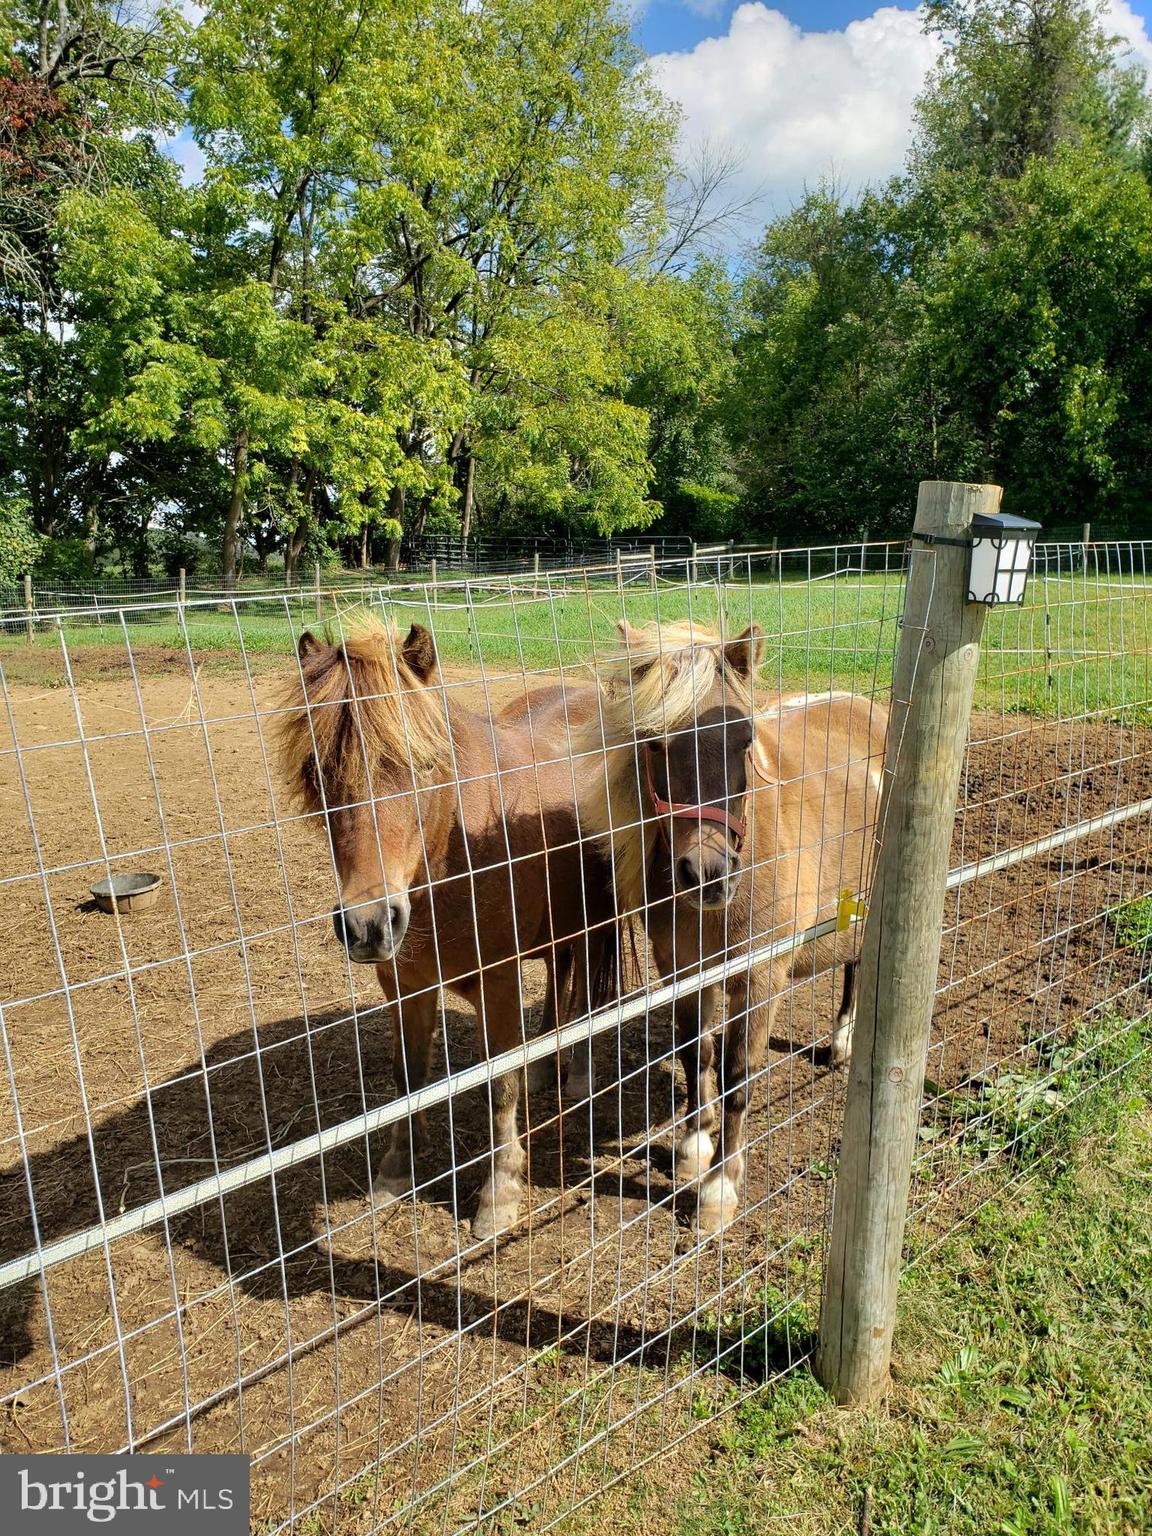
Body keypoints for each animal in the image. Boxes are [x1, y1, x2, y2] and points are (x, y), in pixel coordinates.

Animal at [276, 615, 617, 1240]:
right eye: (318, 773)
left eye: (426, 765)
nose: (367, 925)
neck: (454, 851)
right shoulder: (402, 984)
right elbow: (407, 1076)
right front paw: (395, 1171)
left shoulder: (497, 981)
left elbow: (499, 1083)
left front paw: (499, 1193)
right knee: (560, 977)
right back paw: (548, 1065)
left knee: (584, 984)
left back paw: (577, 1072)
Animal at [574, 618, 888, 1235]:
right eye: (653, 742)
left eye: (743, 742)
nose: (707, 874)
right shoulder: (681, 971)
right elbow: (696, 1053)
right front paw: (693, 1147)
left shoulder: (760, 978)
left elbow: (739, 1073)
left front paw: (719, 1188)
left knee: (856, 967)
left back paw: (842, 1043)